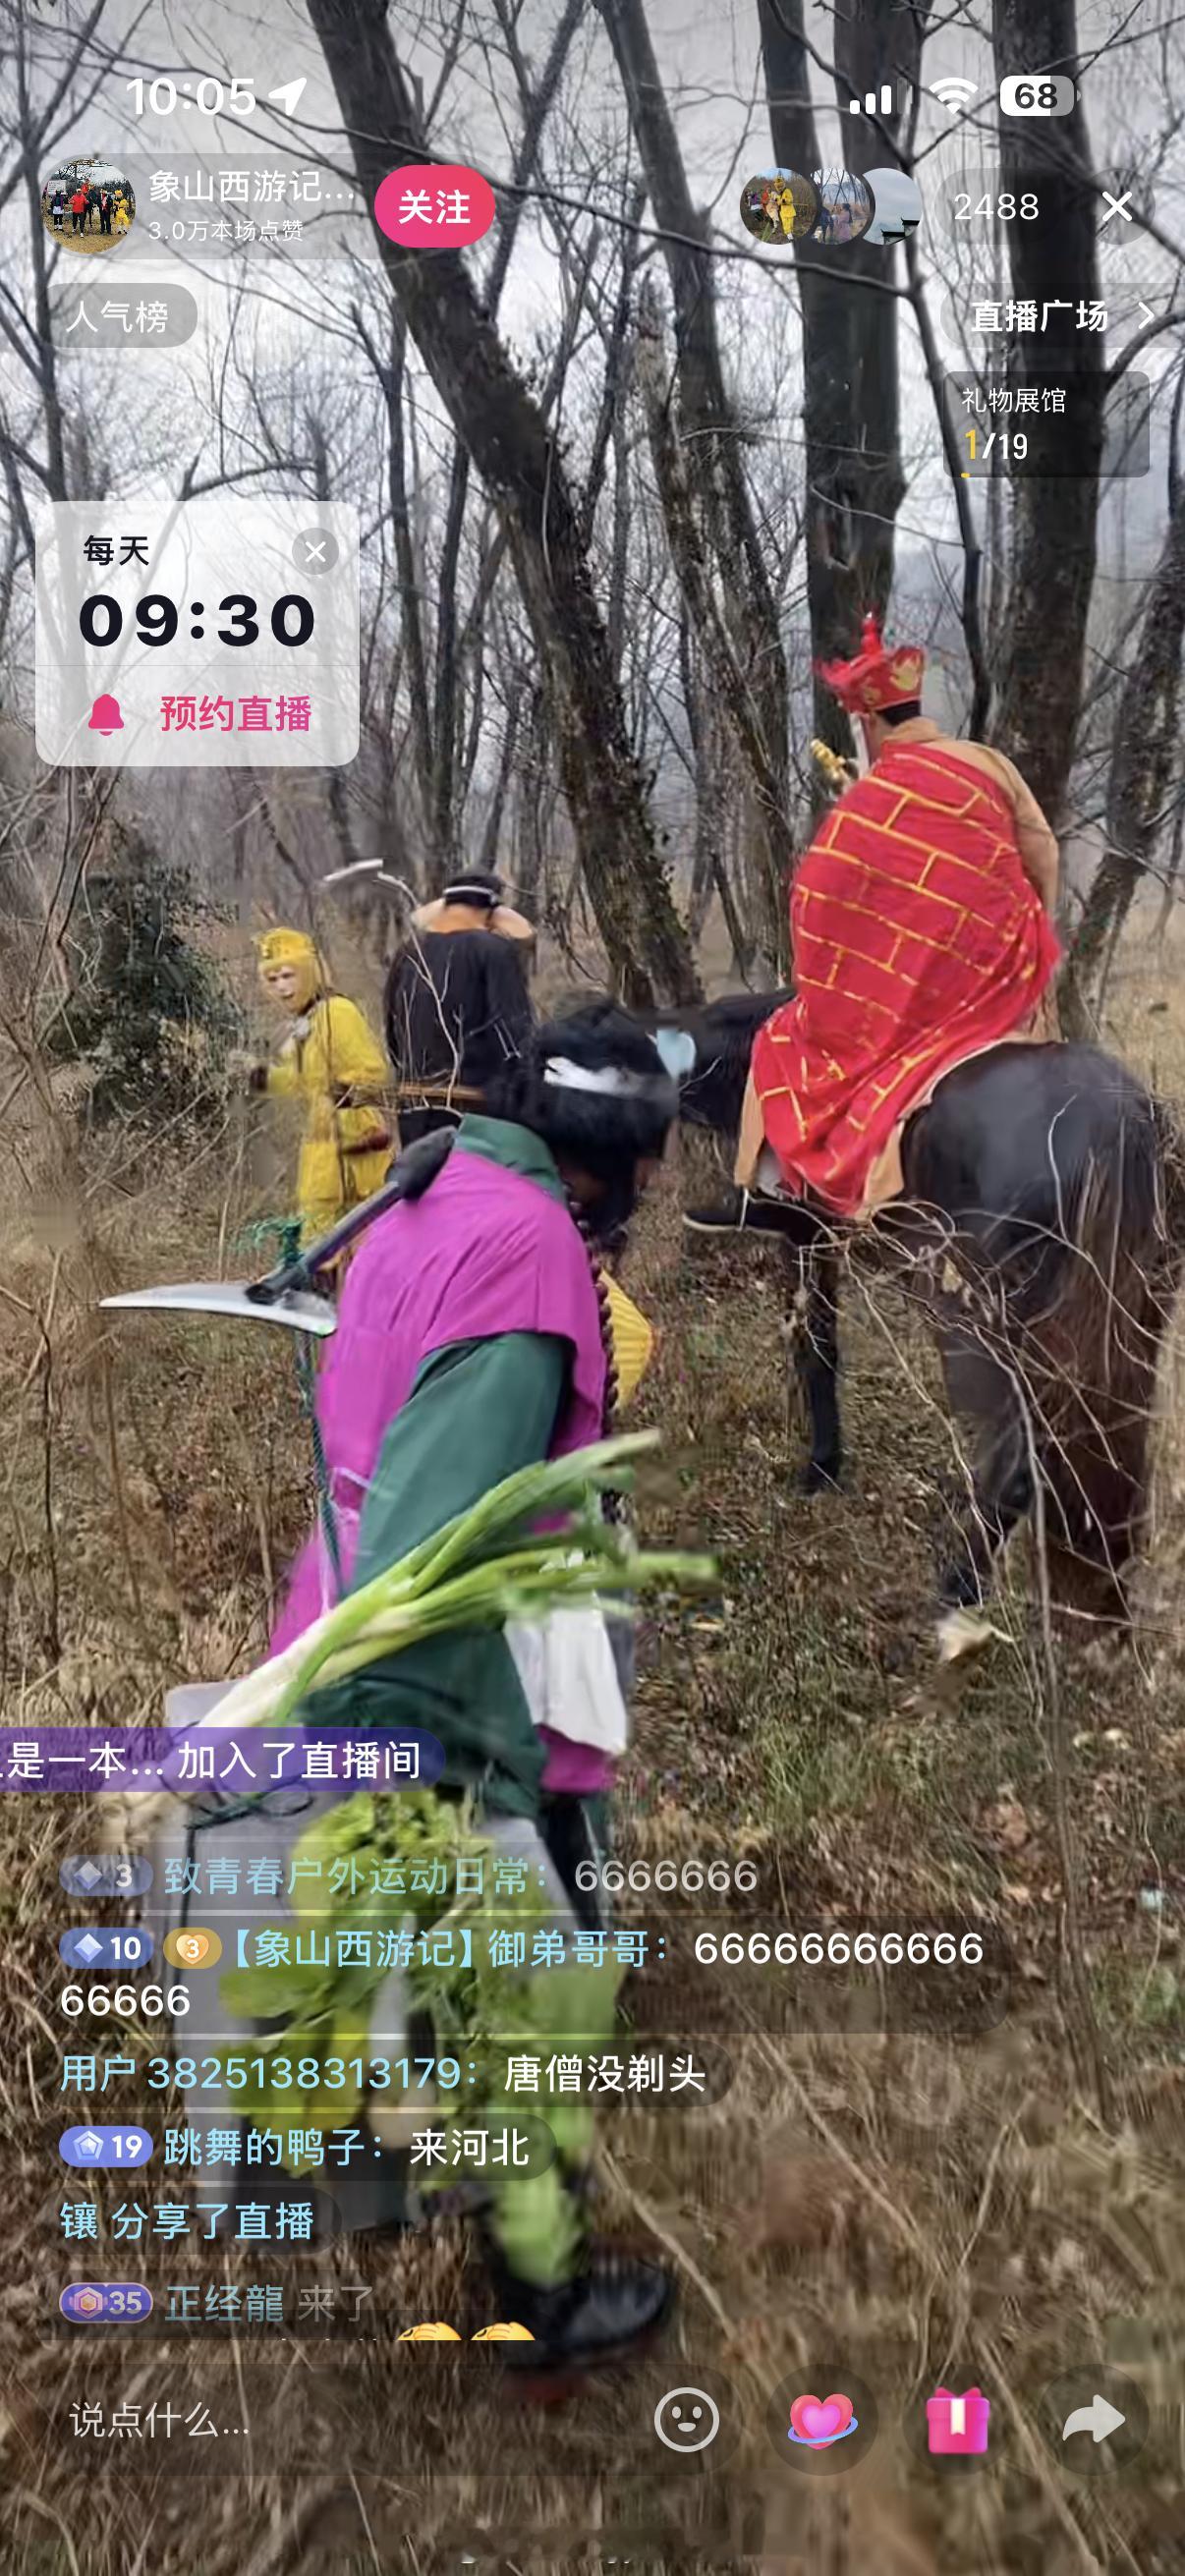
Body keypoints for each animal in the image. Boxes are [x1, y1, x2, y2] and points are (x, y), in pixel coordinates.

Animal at [650, 994, 1185, 1651]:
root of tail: (1116, 1128)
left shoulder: (809, 1235)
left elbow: (815, 1342)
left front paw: (819, 1467)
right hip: (1129, 1320)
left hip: (984, 1323)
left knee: (1018, 1460)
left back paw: (960, 1593)